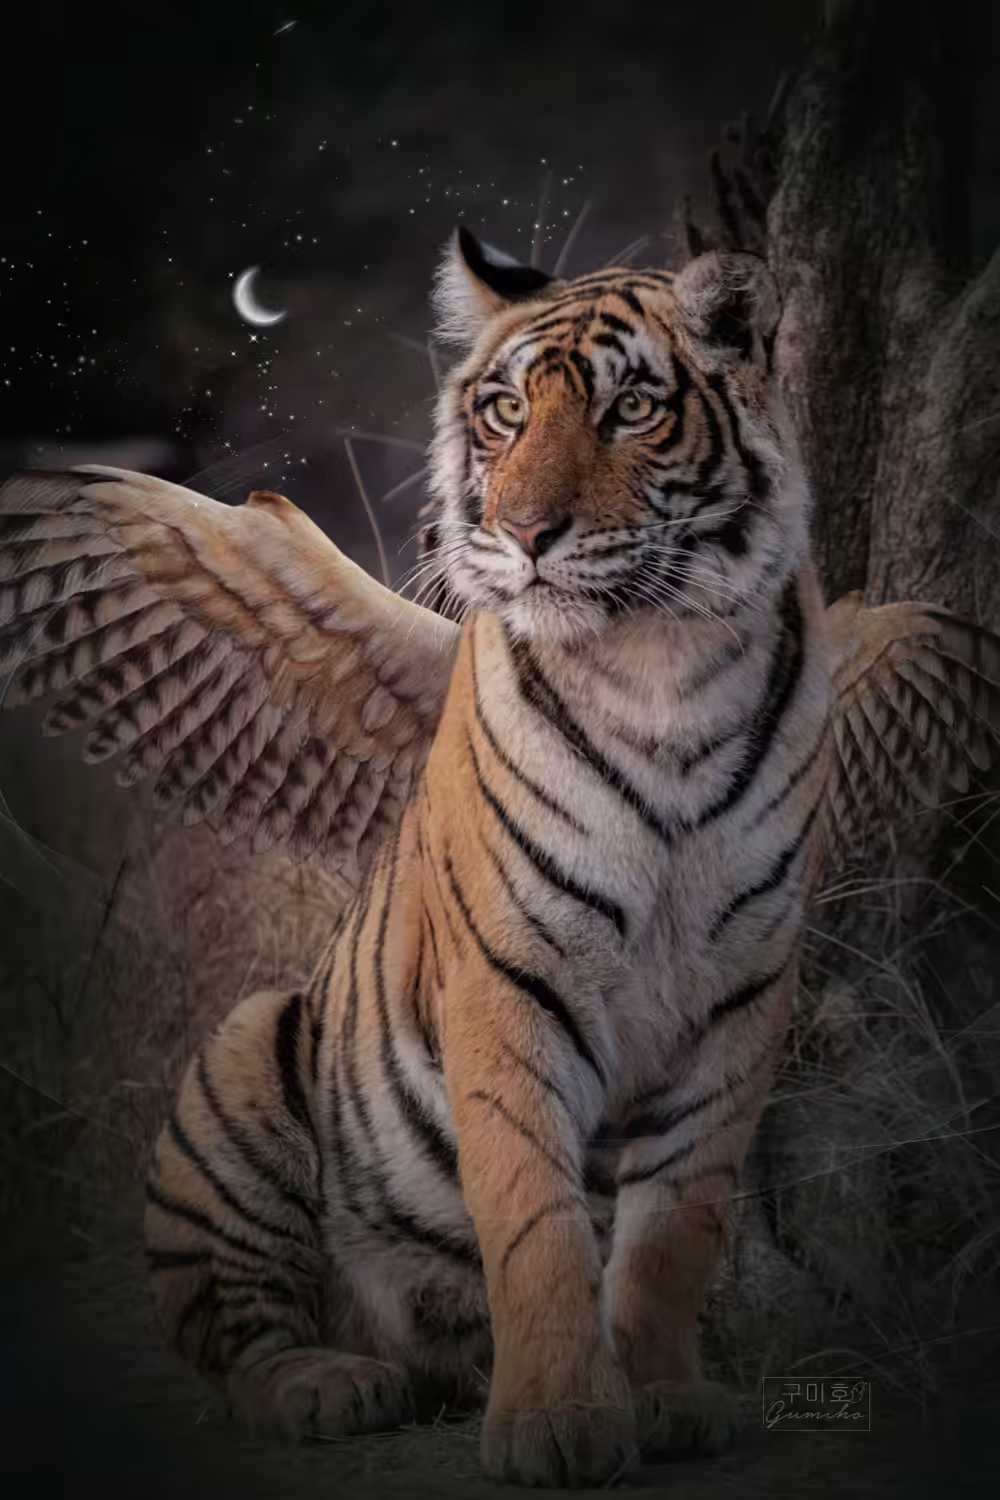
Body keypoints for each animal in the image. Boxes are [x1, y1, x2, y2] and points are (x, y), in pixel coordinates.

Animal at [2, 227, 999, 1490]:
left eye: (634, 409)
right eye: (505, 411)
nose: (526, 536)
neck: (659, 660)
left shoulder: (738, 1000)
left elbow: (674, 1227)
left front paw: (663, 1397)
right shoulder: (511, 981)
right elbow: (534, 1215)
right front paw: (559, 1422)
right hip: (240, 1062)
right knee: (236, 1335)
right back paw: (332, 1382)